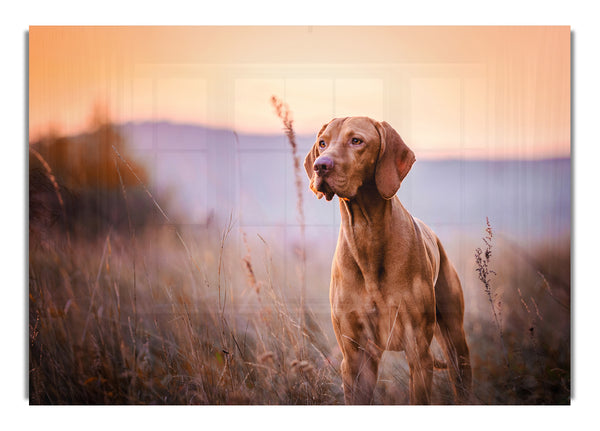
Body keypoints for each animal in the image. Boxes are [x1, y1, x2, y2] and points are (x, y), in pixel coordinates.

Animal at [304, 115, 474, 404]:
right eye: (322, 143)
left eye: (356, 140)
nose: (320, 165)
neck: (366, 233)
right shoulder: (355, 358)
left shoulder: (418, 351)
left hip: (455, 342)